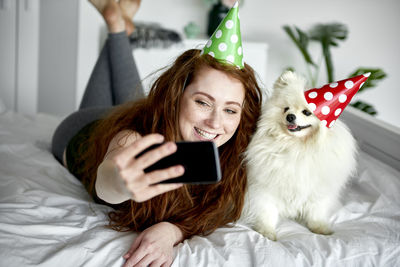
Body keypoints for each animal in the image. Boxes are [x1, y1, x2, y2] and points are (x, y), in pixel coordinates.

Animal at [241, 70, 356, 241]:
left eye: (306, 112)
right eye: (286, 109)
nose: (290, 116)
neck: (298, 146)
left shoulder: (317, 191)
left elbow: (316, 212)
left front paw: (320, 228)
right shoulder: (265, 188)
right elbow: (266, 212)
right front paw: (266, 231)